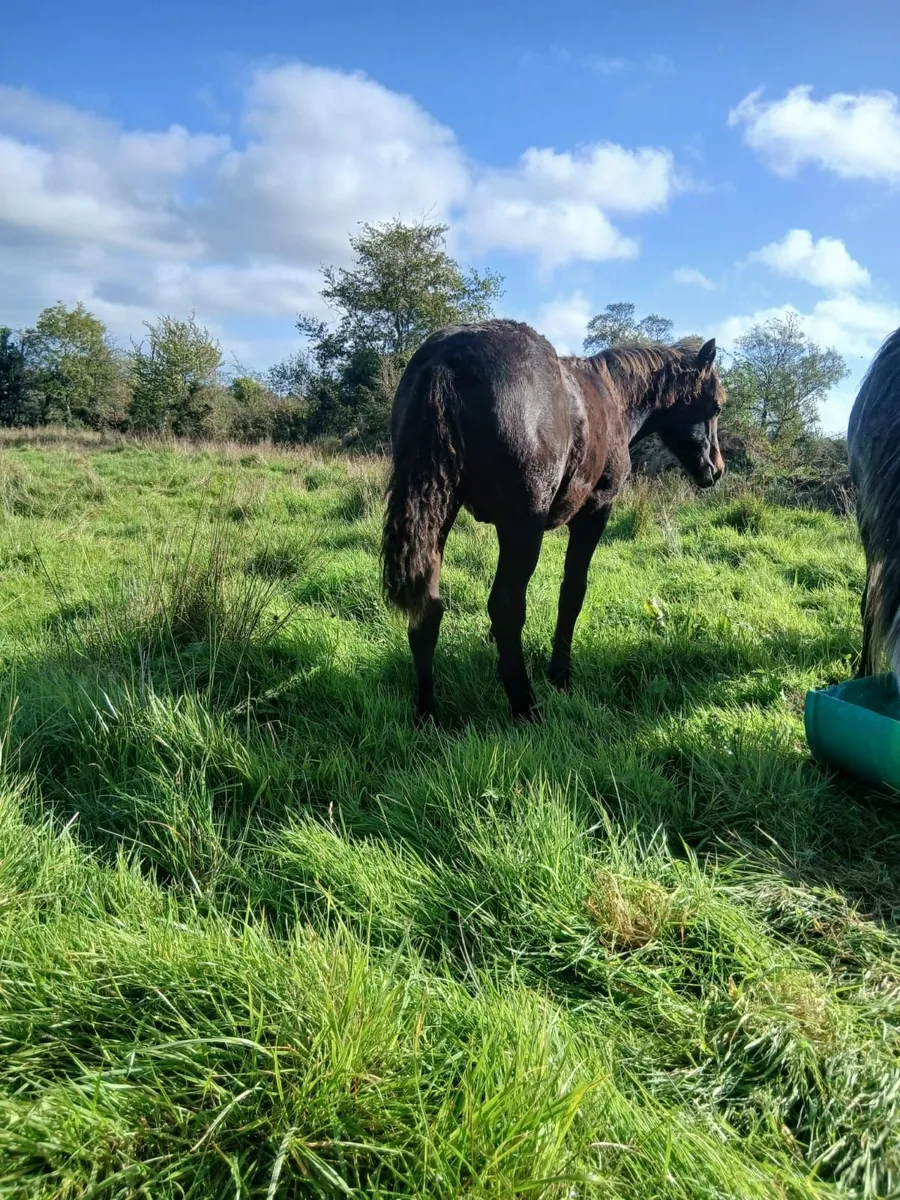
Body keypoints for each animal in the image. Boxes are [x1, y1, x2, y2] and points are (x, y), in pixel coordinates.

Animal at [381, 319, 726, 723]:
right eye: (717, 405)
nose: (716, 470)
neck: (612, 395)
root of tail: (447, 359)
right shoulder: (594, 512)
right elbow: (572, 592)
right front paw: (559, 674)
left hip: (440, 514)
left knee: (428, 609)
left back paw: (427, 714)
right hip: (524, 525)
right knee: (506, 607)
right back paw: (525, 706)